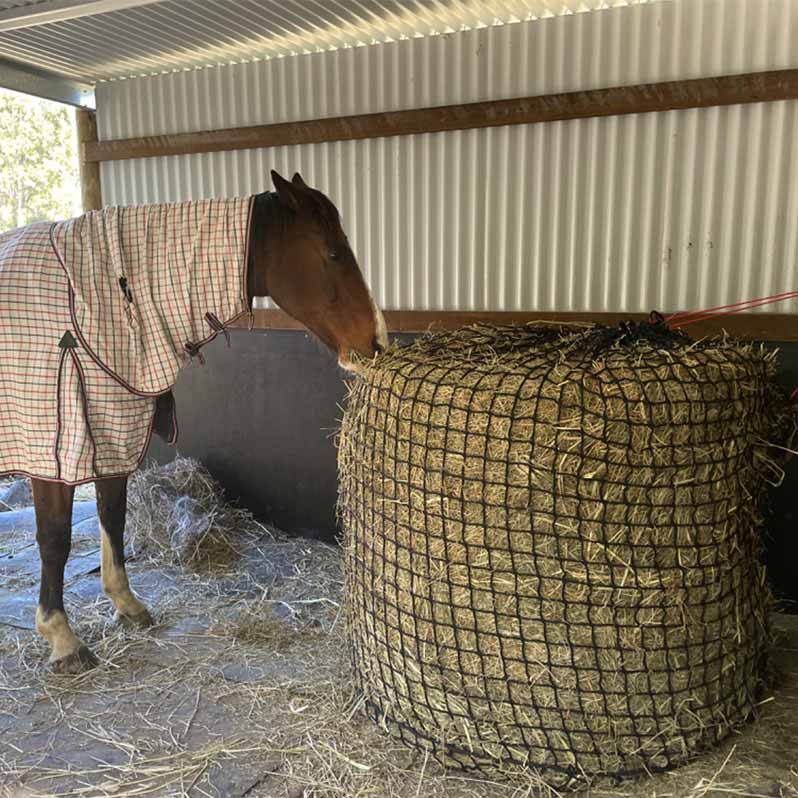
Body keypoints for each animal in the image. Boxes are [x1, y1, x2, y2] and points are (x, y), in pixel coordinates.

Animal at [0, 169, 388, 676]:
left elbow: (112, 516)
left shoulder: (112, 431)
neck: (91, 303)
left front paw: (126, 604)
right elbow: (54, 539)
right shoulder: (53, 451)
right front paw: (62, 638)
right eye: (334, 253)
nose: (376, 341)